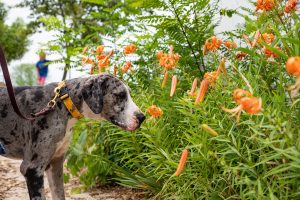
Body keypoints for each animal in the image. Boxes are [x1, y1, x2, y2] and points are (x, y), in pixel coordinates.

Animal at [0, 74, 145, 200]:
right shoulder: (32, 169)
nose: (142, 117)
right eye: (120, 95)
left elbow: (59, 195)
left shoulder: (55, 164)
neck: (62, 104)